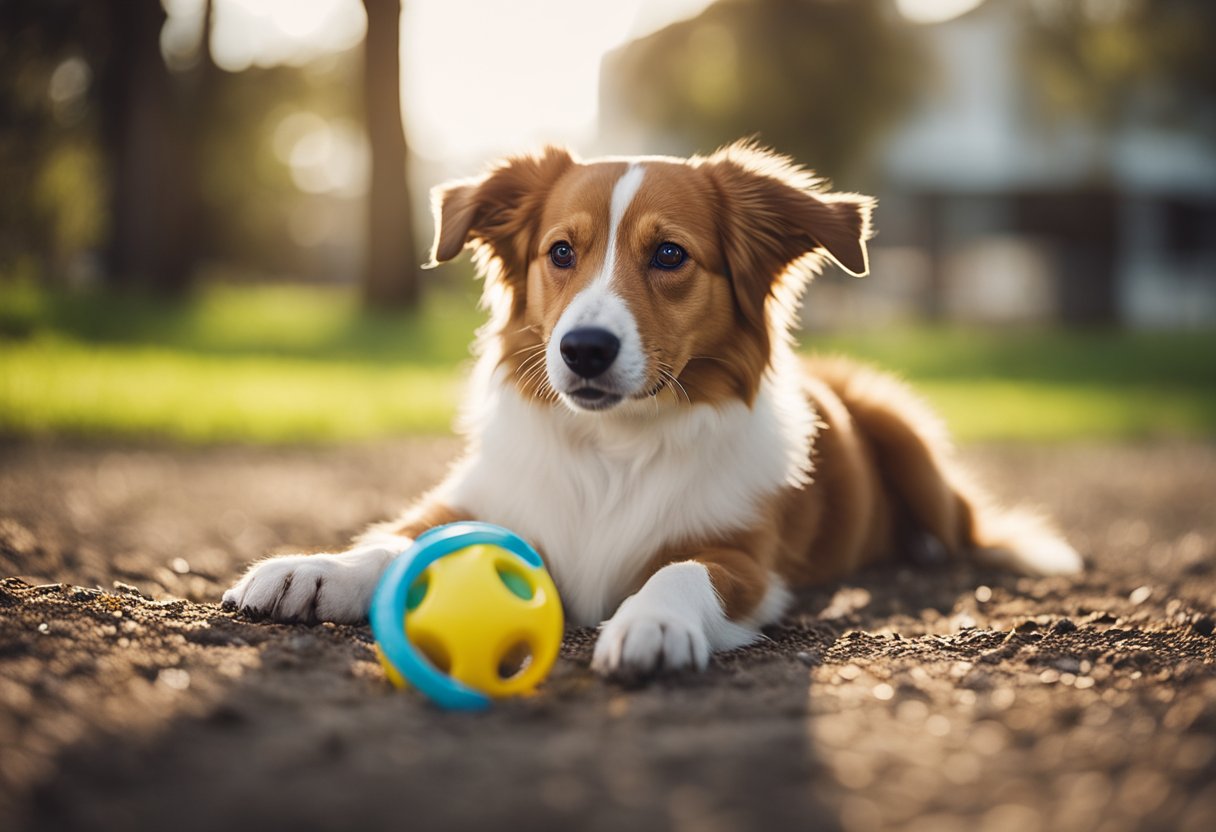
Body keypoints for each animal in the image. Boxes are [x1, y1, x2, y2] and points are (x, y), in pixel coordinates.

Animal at [221, 141, 1084, 676]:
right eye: (560, 253)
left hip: (904, 429)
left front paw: (652, 623)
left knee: (964, 528)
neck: (614, 446)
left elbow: (680, 570)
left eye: (670, 255)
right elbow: (395, 539)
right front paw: (313, 571)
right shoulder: (480, 502)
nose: (584, 349)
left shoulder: (746, 561)